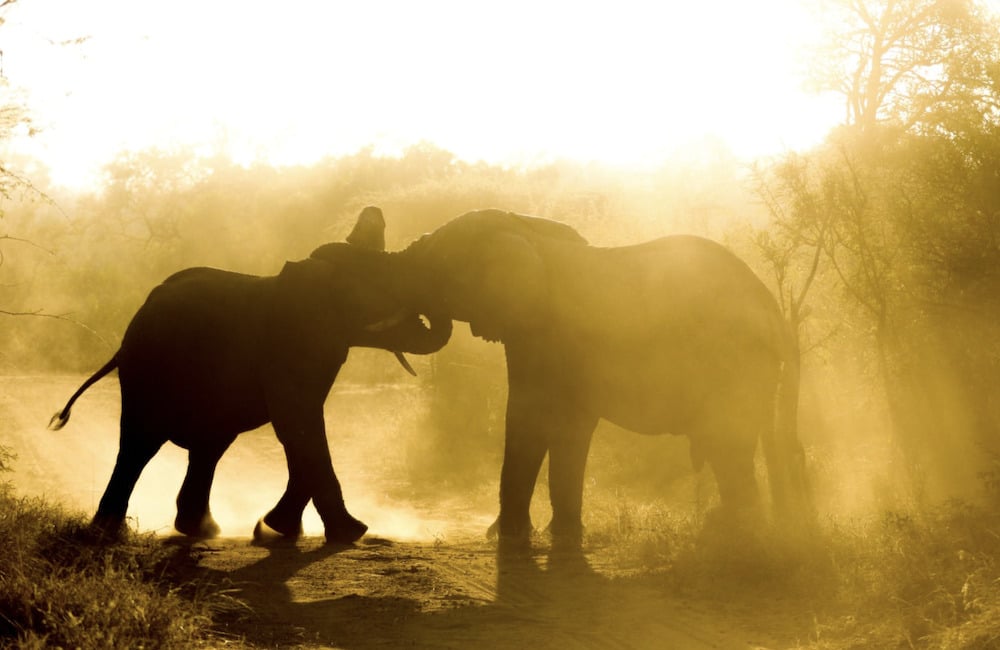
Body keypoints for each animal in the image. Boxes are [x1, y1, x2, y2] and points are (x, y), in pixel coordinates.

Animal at [49, 207, 452, 544]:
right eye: (383, 285)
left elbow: (301, 427)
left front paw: (274, 530)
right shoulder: (291, 344)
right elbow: (298, 423)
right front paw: (346, 533)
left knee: (208, 446)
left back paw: (201, 530)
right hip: (148, 366)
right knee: (141, 441)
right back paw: (109, 533)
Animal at [383, 209, 809, 547]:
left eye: (437, 264)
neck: (529, 230)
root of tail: (774, 313)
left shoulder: (547, 333)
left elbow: (532, 419)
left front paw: (510, 538)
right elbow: (566, 427)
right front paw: (557, 535)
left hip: (736, 363)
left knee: (727, 446)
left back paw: (734, 537)